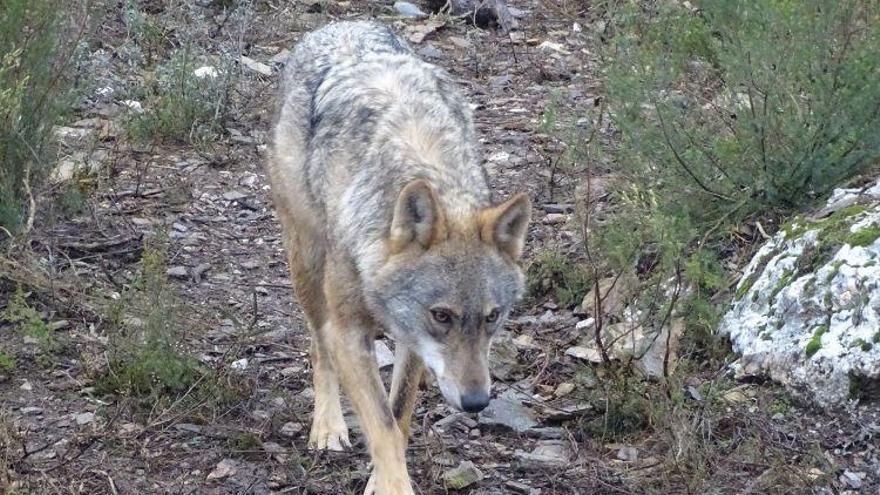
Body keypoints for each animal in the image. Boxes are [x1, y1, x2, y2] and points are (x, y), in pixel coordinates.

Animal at [268, 21, 528, 494]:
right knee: (318, 346)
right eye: (442, 315)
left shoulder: (412, 338)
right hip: (307, 264)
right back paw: (328, 427)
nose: (477, 402)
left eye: (493, 316)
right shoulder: (349, 332)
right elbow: (382, 425)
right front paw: (392, 482)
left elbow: (399, 415)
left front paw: (380, 478)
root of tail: (342, 24)